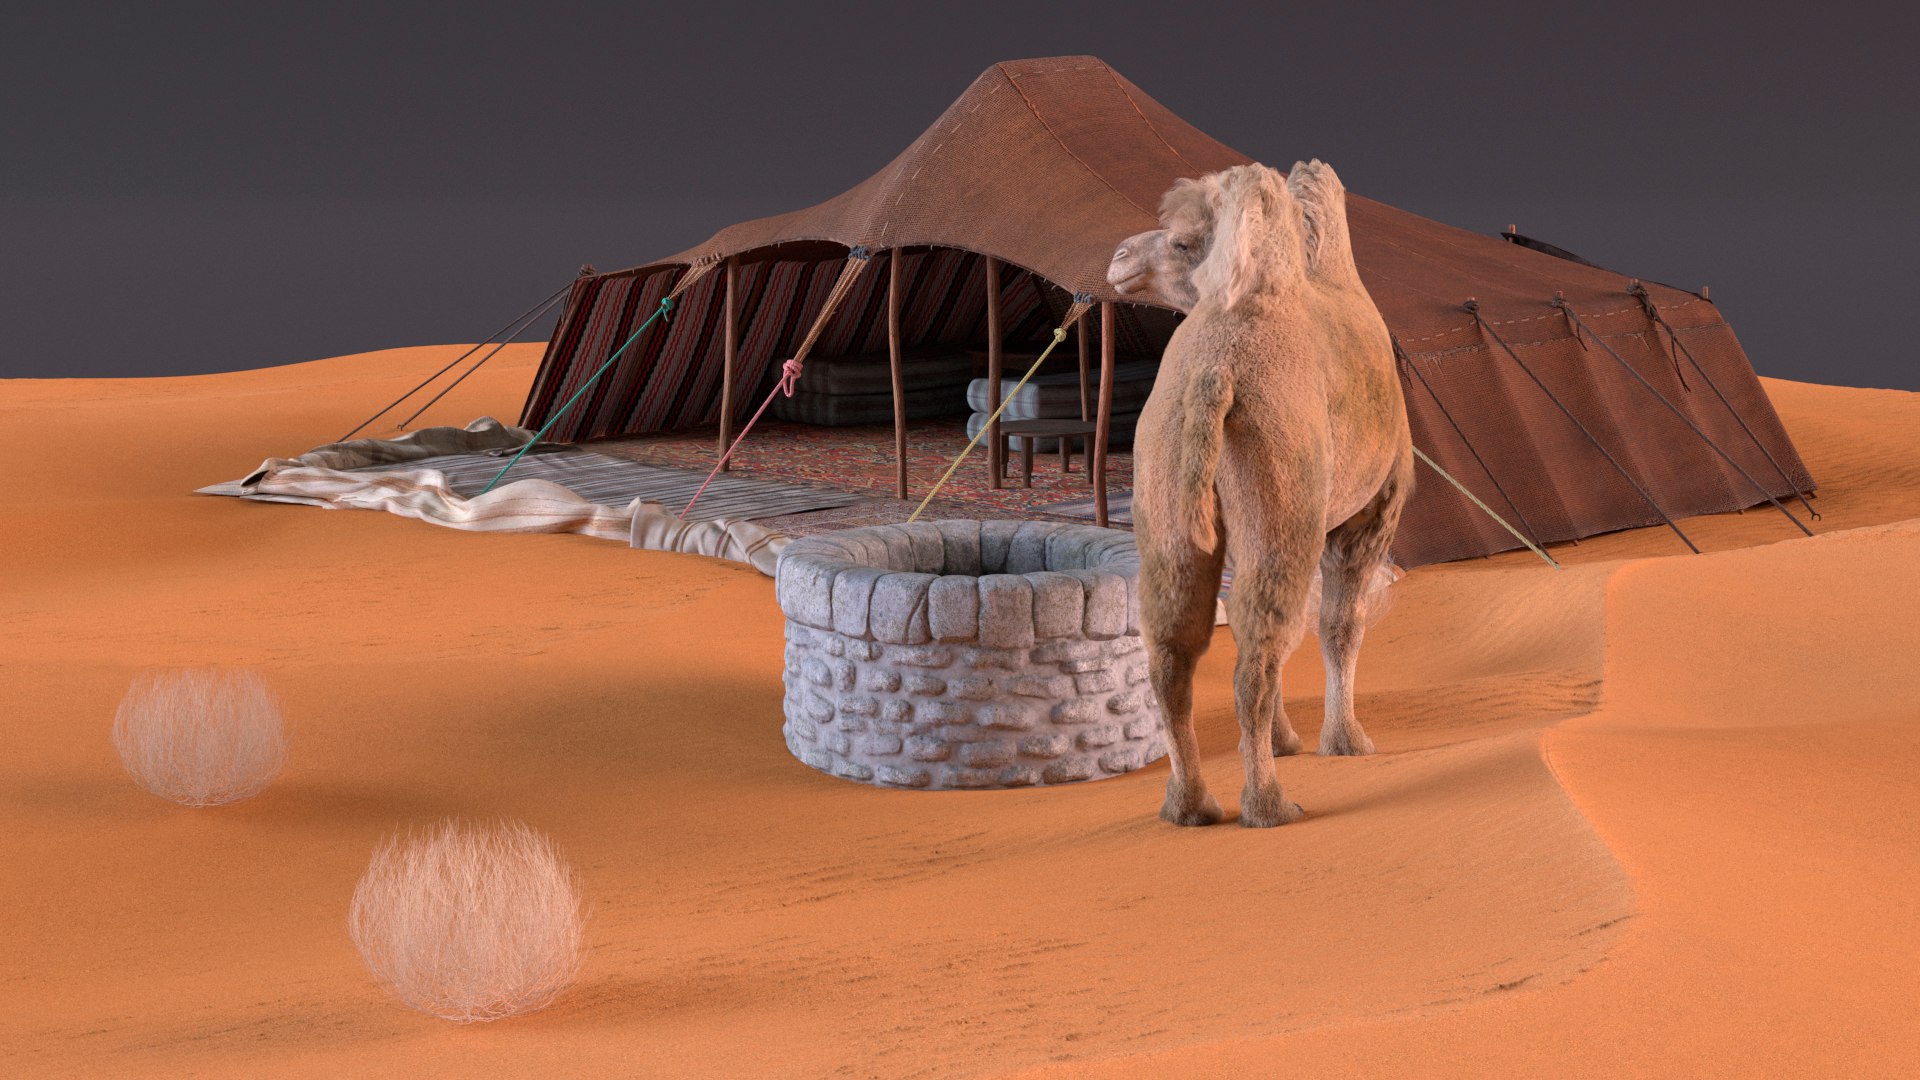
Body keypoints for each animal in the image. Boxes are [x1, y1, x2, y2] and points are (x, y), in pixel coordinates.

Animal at [1107, 161, 1413, 827]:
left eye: (1181, 243)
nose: (1118, 258)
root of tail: (1214, 373)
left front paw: (1289, 739)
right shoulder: (1370, 512)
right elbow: (1339, 624)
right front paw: (1345, 742)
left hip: (1166, 484)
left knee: (1173, 648)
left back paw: (1190, 804)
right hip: (1283, 487)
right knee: (1259, 651)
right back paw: (1269, 803)